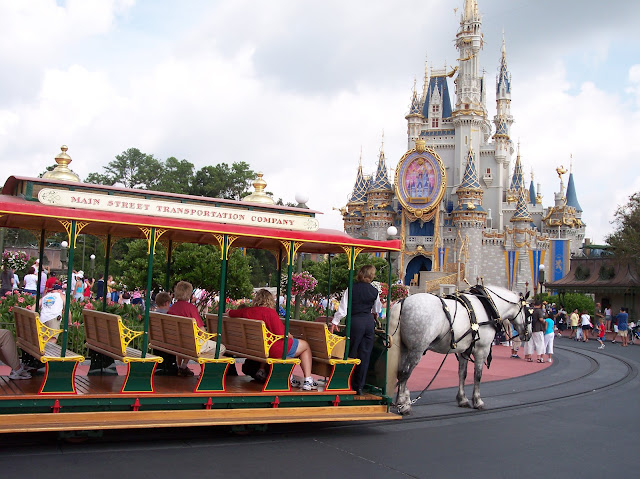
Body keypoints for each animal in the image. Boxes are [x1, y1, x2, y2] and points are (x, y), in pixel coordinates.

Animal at [390, 284, 528, 416]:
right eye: (529, 311)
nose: (528, 335)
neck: (487, 306)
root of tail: (403, 301)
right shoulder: (482, 349)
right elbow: (478, 375)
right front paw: (478, 401)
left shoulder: (464, 351)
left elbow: (462, 373)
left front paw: (462, 399)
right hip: (417, 349)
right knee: (405, 373)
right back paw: (404, 406)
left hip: (404, 348)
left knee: (400, 372)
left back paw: (401, 401)